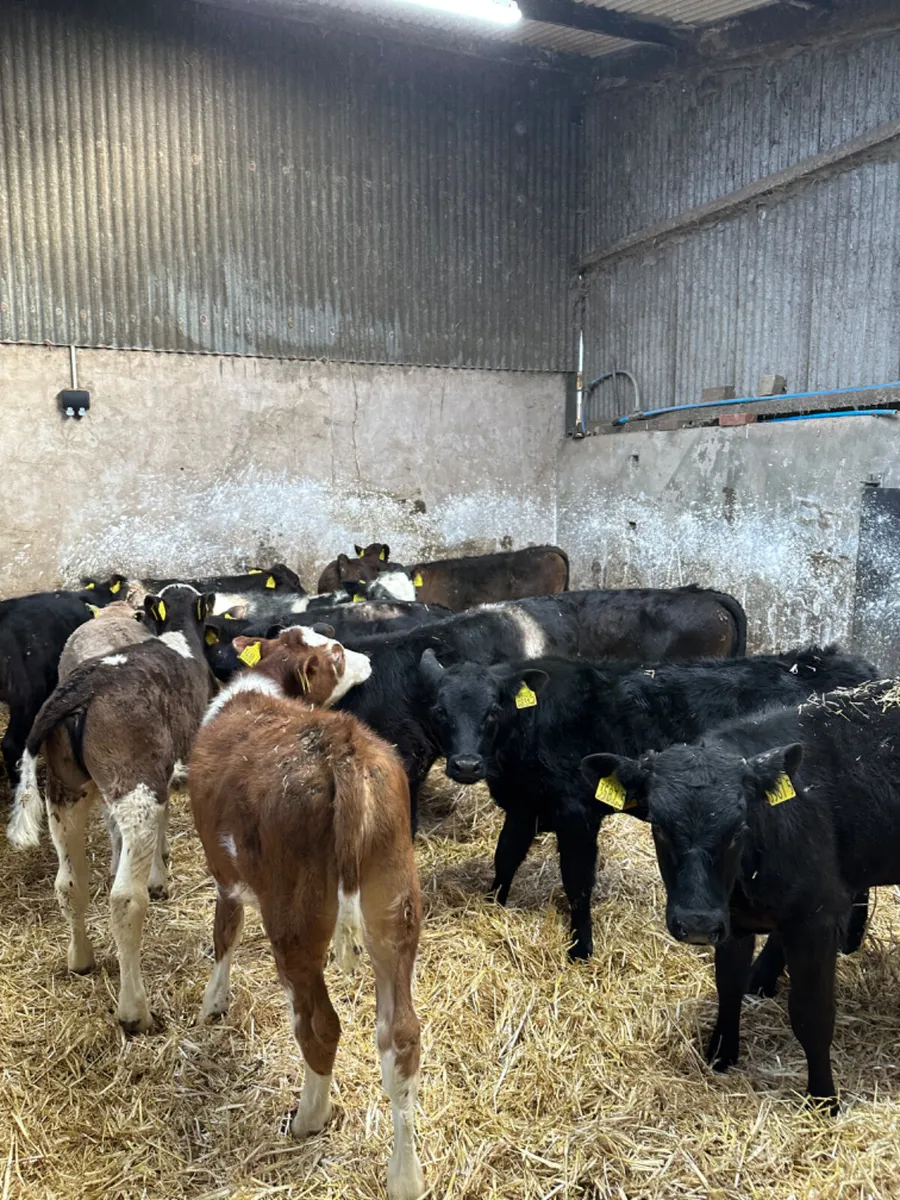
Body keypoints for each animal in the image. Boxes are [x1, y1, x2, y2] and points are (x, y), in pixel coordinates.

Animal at [6, 585, 219, 1032]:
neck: (180, 636)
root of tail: (80, 689)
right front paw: (160, 877)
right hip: (134, 784)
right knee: (125, 900)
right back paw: (135, 1011)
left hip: (65, 789)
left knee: (69, 883)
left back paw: (81, 959)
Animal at [189, 631, 423, 1200]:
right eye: (337, 654)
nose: (365, 659)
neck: (265, 684)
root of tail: (343, 748)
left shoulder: (223, 870)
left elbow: (224, 932)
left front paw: (213, 1002)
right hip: (394, 906)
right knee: (401, 1039)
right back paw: (405, 1176)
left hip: (293, 924)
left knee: (320, 1026)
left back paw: (308, 1118)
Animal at [419, 645, 876, 959]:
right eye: (439, 711)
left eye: (494, 710)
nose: (465, 764)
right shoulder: (523, 806)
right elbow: (505, 858)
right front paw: (491, 906)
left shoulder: (576, 813)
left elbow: (577, 882)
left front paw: (581, 950)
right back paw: (849, 945)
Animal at [579, 679, 900, 1111]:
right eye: (659, 826)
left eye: (738, 828)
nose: (696, 922)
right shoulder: (732, 920)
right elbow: (727, 986)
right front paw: (721, 1053)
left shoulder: (813, 918)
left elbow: (812, 1014)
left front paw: (823, 1099)